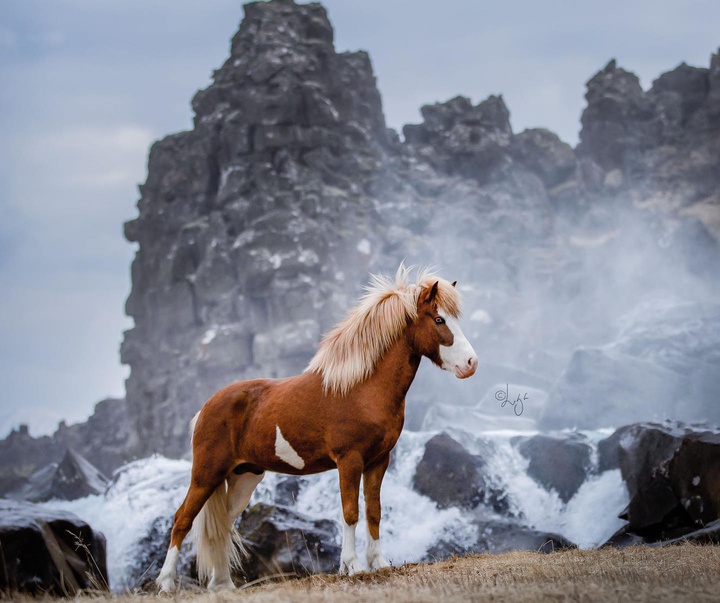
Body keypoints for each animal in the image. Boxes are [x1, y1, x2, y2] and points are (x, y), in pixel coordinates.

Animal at [156, 266, 478, 592]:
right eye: (438, 319)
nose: (471, 363)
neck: (361, 389)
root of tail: (206, 408)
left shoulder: (379, 460)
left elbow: (373, 511)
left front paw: (379, 564)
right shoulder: (349, 460)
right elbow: (350, 512)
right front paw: (353, 568)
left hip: (243, 477)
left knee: (222, 524)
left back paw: (223, 585)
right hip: (206, 474)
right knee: (182, 519)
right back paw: (167, 584)